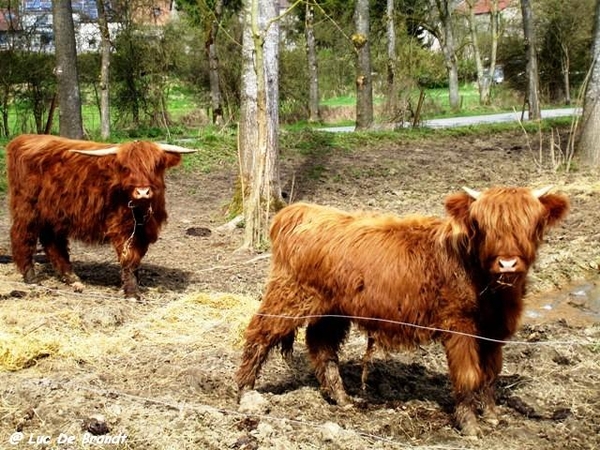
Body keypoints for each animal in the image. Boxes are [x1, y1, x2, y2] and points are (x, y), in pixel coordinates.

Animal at [7, 135, 195, 300]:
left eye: (155, 165)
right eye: (126, 167)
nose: (142, 192)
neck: (140, 211)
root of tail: (22, 139)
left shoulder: (144, 231)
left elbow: (137, 258)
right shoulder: (121, 228)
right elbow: (129, 258)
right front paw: (132, 292)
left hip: (53, 213)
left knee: (53, 242)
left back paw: (71, 277)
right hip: (27, 208)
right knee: (22, 235)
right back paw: (30, 276)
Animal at [237, 186, 568, 436]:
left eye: (530, 224)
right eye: (482, 226)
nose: (507, 263)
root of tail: (300, 212)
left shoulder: (494, 331)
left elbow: (490, 375)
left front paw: (492, 415)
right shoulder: (459, 326)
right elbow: (469, 375)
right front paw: (471, 426)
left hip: (332, 311)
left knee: (322, 347)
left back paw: (342, 399)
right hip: (288, 298)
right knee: (259, 334)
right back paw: (245, 392)